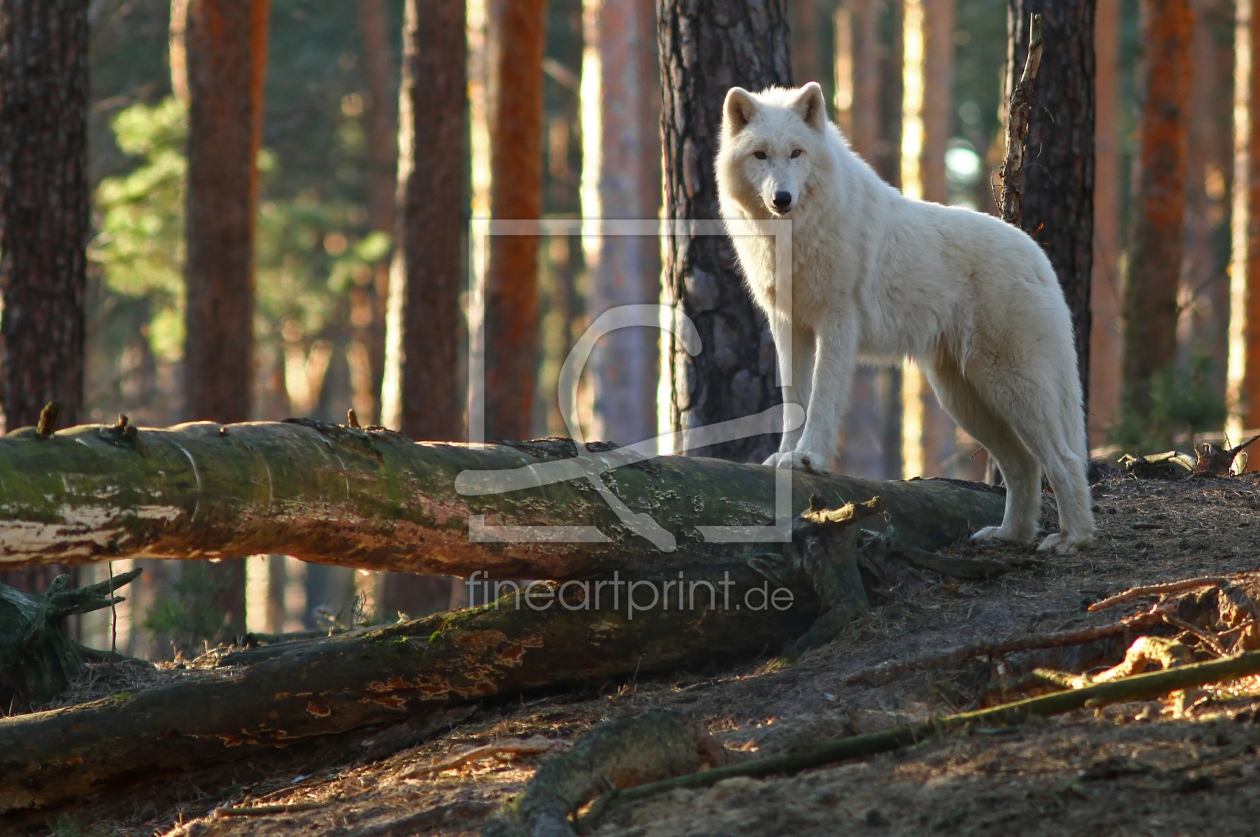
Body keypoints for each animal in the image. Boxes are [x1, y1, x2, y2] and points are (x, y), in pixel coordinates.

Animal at [720, 83, 1093, 554]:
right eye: (761, 155)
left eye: (796, 153)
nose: (781, 199)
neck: (795, 237)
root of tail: (1038, 256)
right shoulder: (790, 327)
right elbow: (794, 402)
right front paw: (784, 456)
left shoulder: (837, 322)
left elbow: (822, 397)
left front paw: (809, 457)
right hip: (963, 398)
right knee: (1025, 464)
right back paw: (1009, 535)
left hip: (1010, 387)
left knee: (1063, 458)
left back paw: (1073, 539)